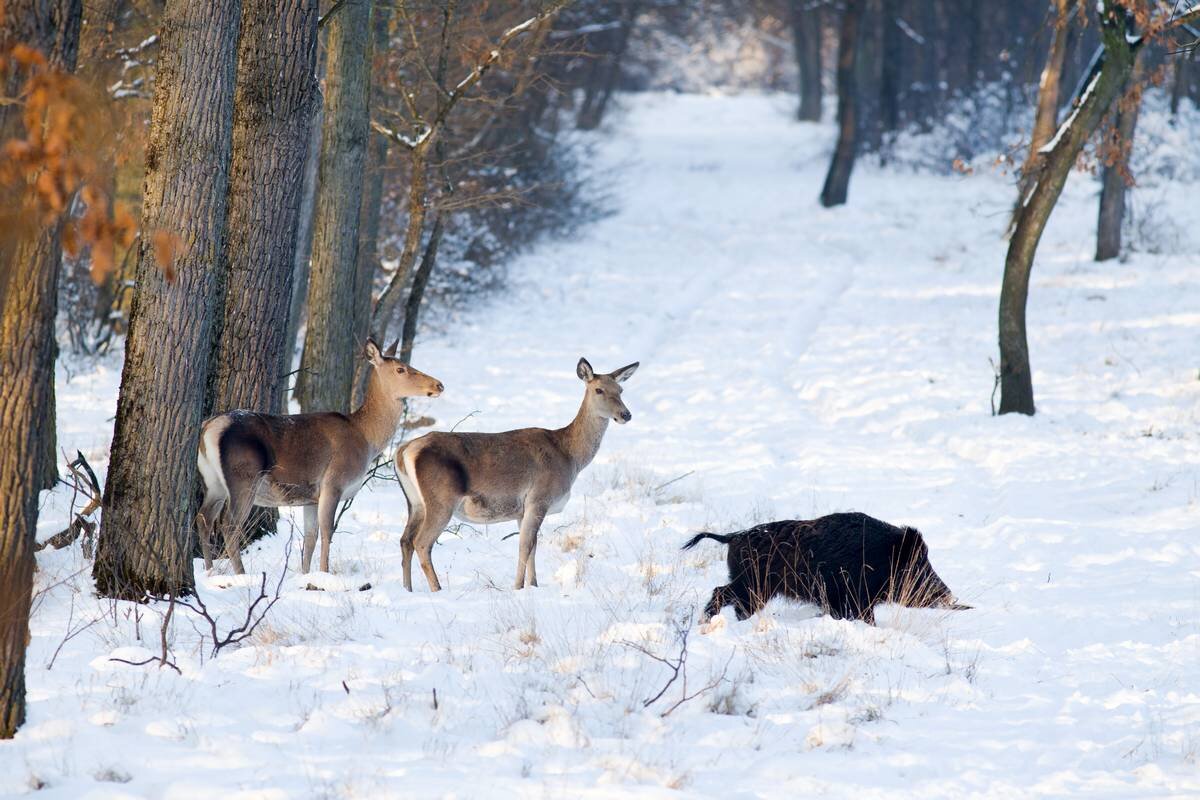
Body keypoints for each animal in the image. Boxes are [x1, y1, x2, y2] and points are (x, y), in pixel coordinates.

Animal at [196, 338, 446, 575]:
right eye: (401, 369)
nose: (439, 384)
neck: (366, 439)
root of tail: (209, 428)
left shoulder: (310, 498)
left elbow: (310, 538)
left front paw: (306, 574)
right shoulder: (333, 483)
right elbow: (327, 533)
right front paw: (324, 573)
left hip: (213, 482)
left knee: (203, 518)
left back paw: (208, 570)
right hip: (244, 477)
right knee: (229, 525)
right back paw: (240, 574)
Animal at [393, 359, 638, 592]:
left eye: (620, 390)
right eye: (599, 390)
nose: (626, 414)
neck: (570, 457)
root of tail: (405, 450)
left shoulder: (523, 510)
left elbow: (533, 547)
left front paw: (534, 584)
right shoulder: (539, 498)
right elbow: (525, 546)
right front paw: (518, 586)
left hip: (415, 502)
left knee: (405, 540)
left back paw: (407, 589)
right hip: (441, 500)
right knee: (422, 542)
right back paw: (437, 589)